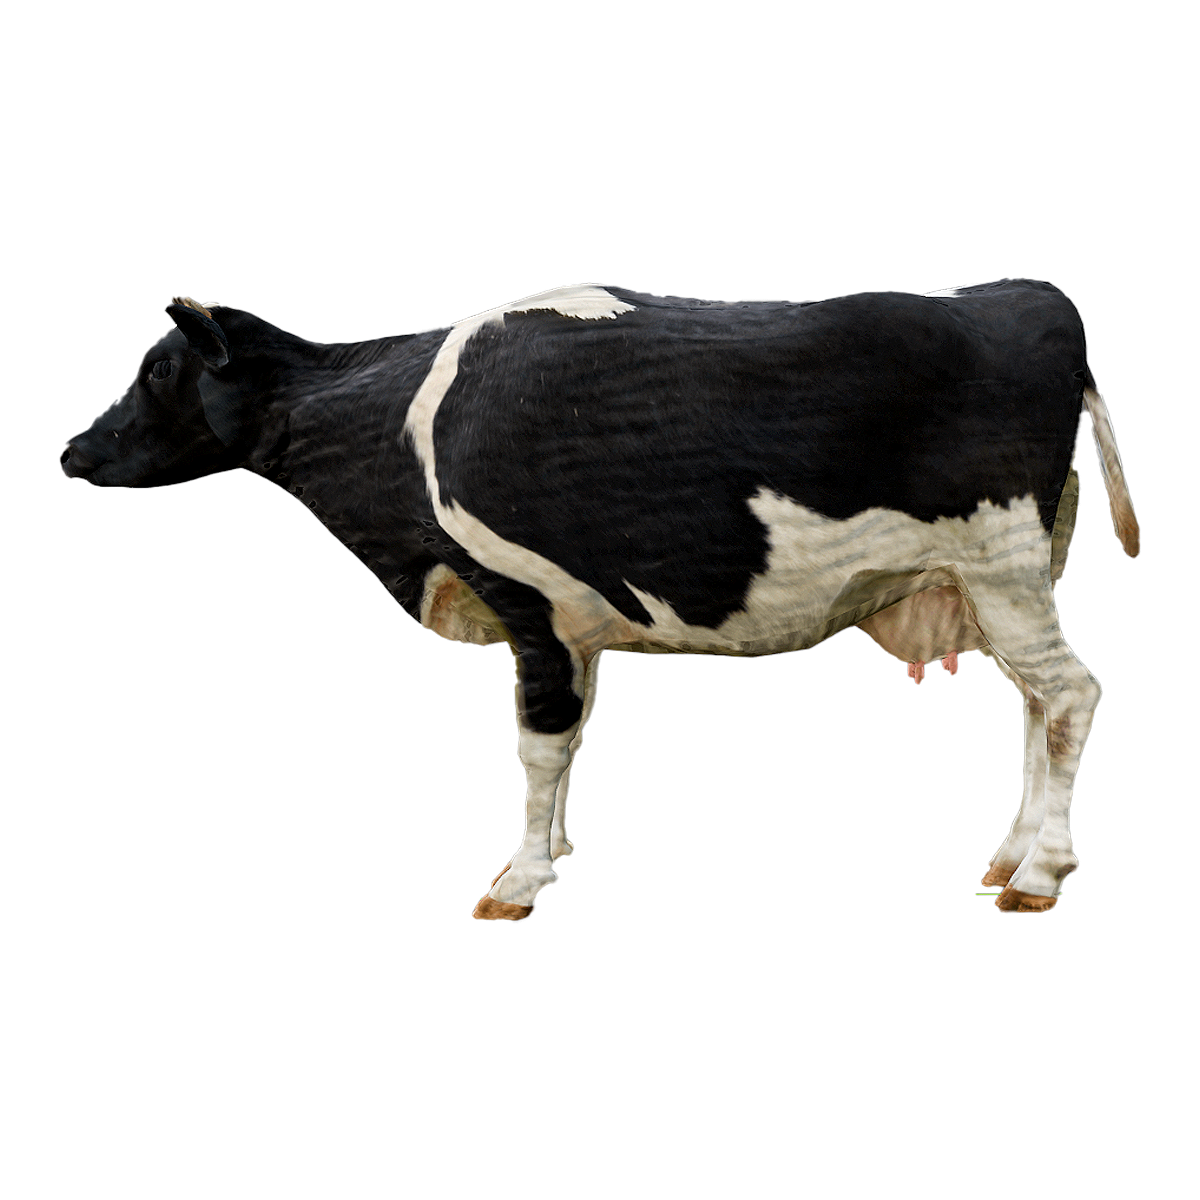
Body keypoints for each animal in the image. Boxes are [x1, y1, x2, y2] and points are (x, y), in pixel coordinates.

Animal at [60, 280, 1140, 922]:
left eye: (160, 368)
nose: (72, 448)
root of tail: (1025, 294)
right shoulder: (562, 625)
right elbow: (566, 747)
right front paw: (556, 847)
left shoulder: (525, 599)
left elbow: (539, 744)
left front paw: (517, 878)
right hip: (989, 579)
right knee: (1037, 704)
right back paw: (1008, 857)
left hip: (1000, 561)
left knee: (1070, 696)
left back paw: (1038, 875)